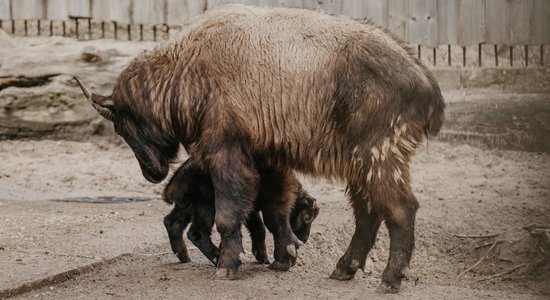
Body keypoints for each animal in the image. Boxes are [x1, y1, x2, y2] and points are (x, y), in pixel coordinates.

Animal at [163, 158, 320, 266]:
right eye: (308, 217)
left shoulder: (251, 211)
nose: (304, 239)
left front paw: (262, 257)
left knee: (172, 223)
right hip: (206, 207)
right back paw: (217, 258)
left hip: (186, 208)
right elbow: (261, 228)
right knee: (197, 233)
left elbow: (258, 228)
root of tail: (175, 182)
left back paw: (184, 256)